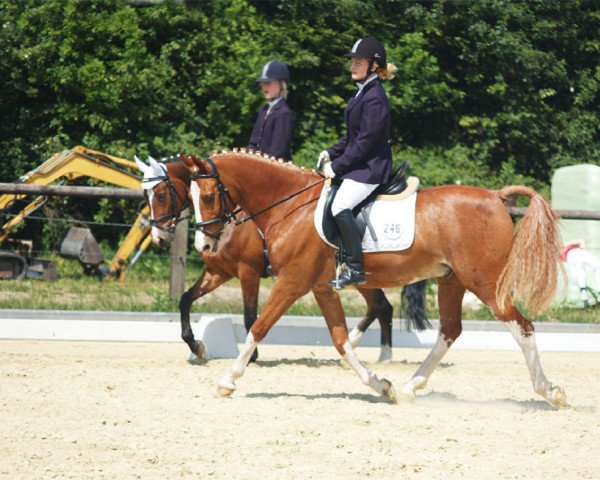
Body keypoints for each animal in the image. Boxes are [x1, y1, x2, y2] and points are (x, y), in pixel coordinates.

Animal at [136, 158, 426, 364]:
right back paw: (364, 350)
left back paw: (376, 354)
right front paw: (197, 346)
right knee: (381, 306)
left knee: (380, 306)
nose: (159, 238)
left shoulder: (248, 271)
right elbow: (185, 299)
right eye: (145, 197)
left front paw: (251, 355)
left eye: (161, 195)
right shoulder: (219, 272)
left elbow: (249, 316)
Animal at [180, 151, 564, 408]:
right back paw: (411, 387)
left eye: (209, 196)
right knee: (449, 331)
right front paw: (382, 386)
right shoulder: (321, 288)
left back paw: (550, 391)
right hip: (452, 281)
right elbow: (341, 342)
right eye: (191, 197)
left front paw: (227, 380)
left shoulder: (291, 283)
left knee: (522, 328)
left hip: (484, 282)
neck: (290, 208)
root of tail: (496, 197)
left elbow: (257, 328)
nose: (204, 246)